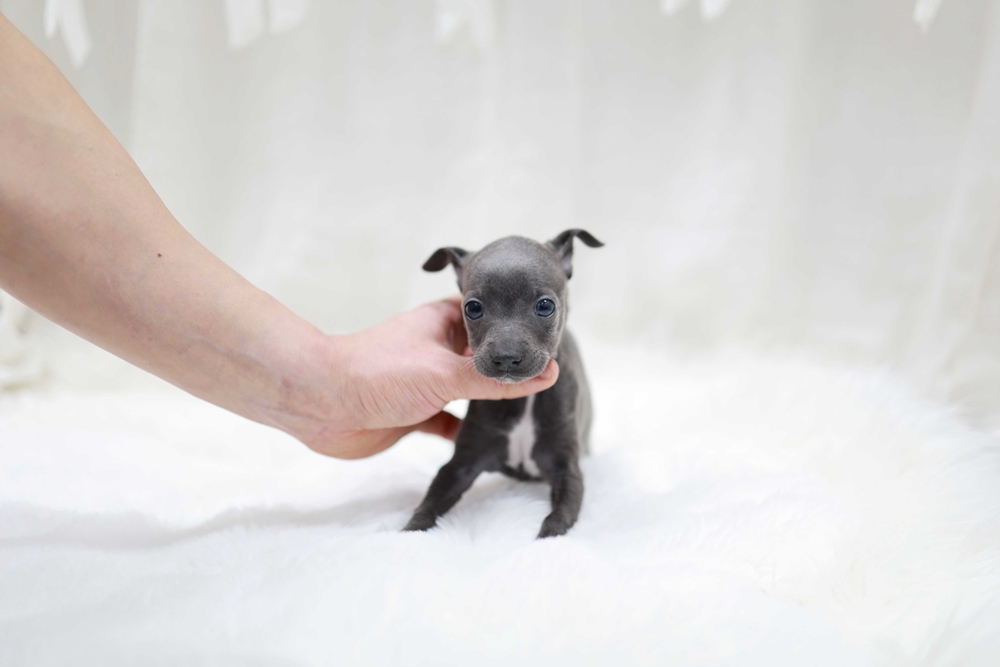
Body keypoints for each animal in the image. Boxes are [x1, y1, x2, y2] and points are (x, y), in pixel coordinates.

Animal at [403, 229, 603, 538]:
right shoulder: (461, 463)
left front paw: (546, 541)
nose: (507, 358)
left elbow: (558, 518)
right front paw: (409, 533)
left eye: (545, 306)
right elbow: (432, 500)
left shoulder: (567, 468)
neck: (521, 401)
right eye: (473, 308)